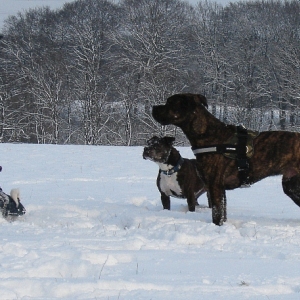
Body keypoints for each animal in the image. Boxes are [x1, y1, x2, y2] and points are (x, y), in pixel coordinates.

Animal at [152, 93, 300, 225]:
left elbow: (217, 215)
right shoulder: (219, 189)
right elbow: (223, 214)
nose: (153, 107)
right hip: (290, 185)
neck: (208, 134)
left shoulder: (215, 186)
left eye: (170, 103)